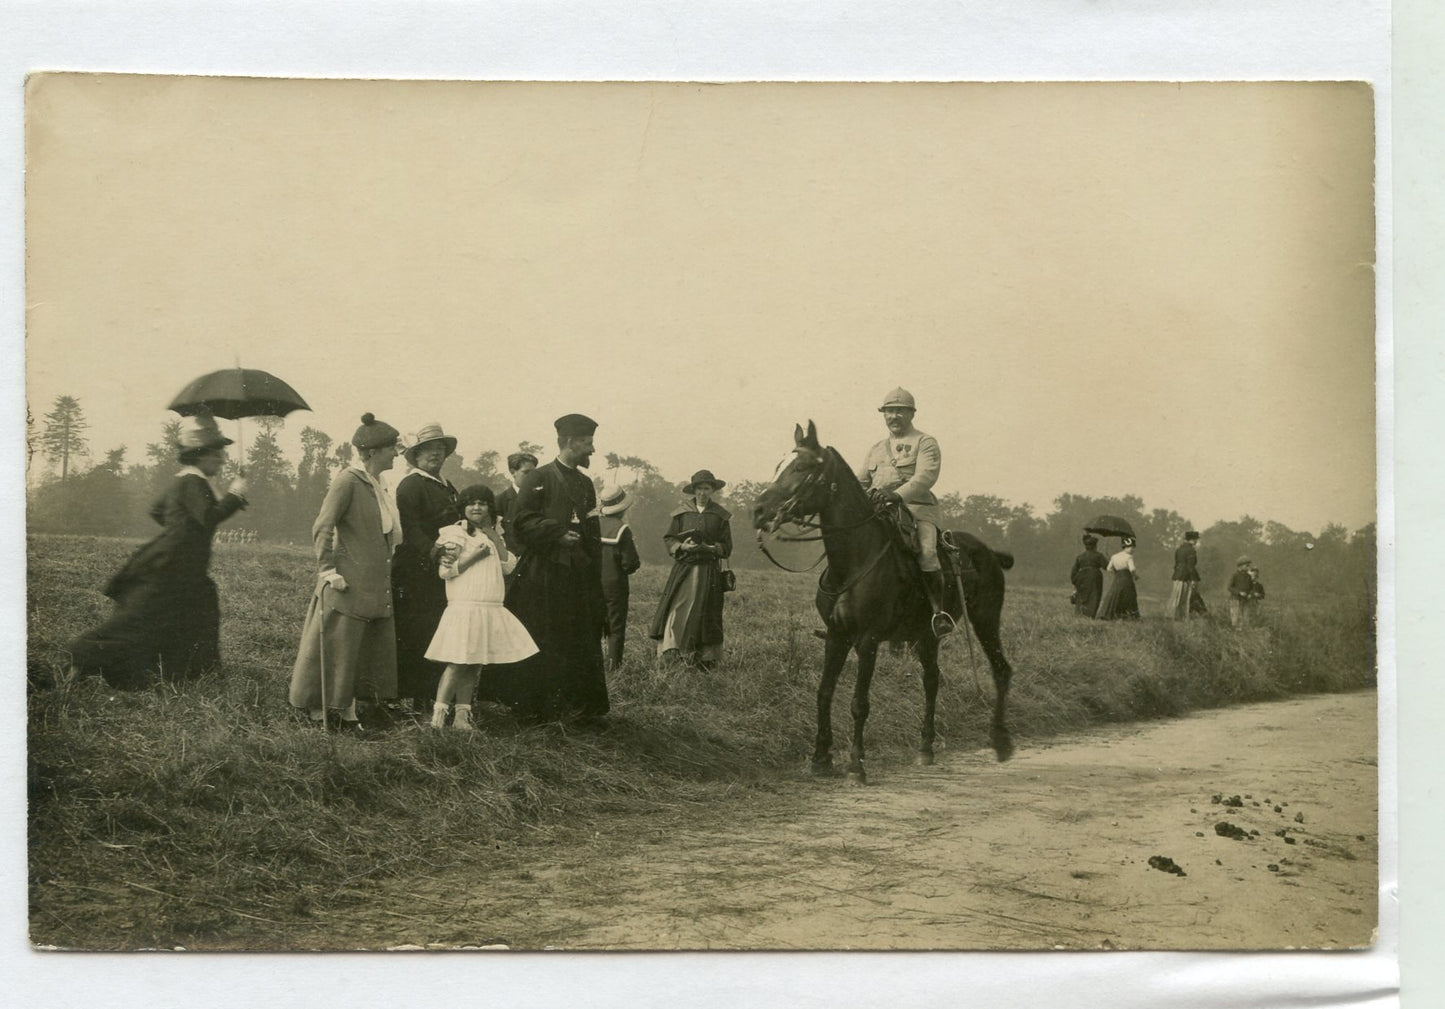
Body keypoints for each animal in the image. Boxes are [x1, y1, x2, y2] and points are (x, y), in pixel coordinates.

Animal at [757, 419, 1017, 780]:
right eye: (778, 464)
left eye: (802, 467)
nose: (759, 510)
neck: (852, 561)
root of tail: (989, 552)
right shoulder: (836, 637)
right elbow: (824, 693)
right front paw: (821, 758)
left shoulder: (867, 640)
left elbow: (859, 703)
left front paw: (856, 764)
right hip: (926, 635)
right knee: (932, 680)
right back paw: (925, 748)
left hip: (986, 619)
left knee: (1001, 670)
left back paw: (1001, 742)